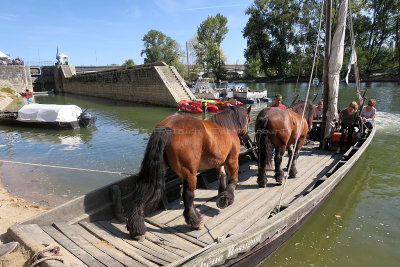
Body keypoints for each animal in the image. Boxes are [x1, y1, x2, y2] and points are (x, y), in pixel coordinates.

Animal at [126, 106, 252, 241]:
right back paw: (195, 222)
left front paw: (221, 193)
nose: (246, 139)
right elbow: (233, 179)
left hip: (154, 171)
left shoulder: (219, 161)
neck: (227, 127)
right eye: (249, 120)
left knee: (143, 192)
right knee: (188, 196)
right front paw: (226, 198)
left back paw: (136, 228)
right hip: (190, 173)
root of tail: (167, 127)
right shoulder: (232, 160)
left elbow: (221, 176)